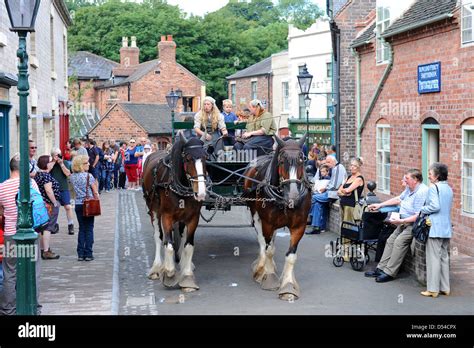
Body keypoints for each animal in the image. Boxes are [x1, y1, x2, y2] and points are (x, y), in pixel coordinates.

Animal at [142, 133, 206, 290]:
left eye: (205, 157)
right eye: (188, 158)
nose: (201, 193)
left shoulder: (193, 217)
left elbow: (188, 245)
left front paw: (187, 276)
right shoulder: (167, 216)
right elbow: (169, 244)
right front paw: (169, 273)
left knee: (180, 236)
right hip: (154, 210)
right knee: (159, 237)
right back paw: (157, 267)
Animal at [243, 135, 312, 300]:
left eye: (302, 160)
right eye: (282, 161)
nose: (293, 196)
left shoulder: (299, 225)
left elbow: (291, 256)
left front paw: (288, 286)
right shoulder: (267, 223)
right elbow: (268, 249)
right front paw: (269, 278)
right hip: (255, 214)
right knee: (262, 241)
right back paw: (261, 268)